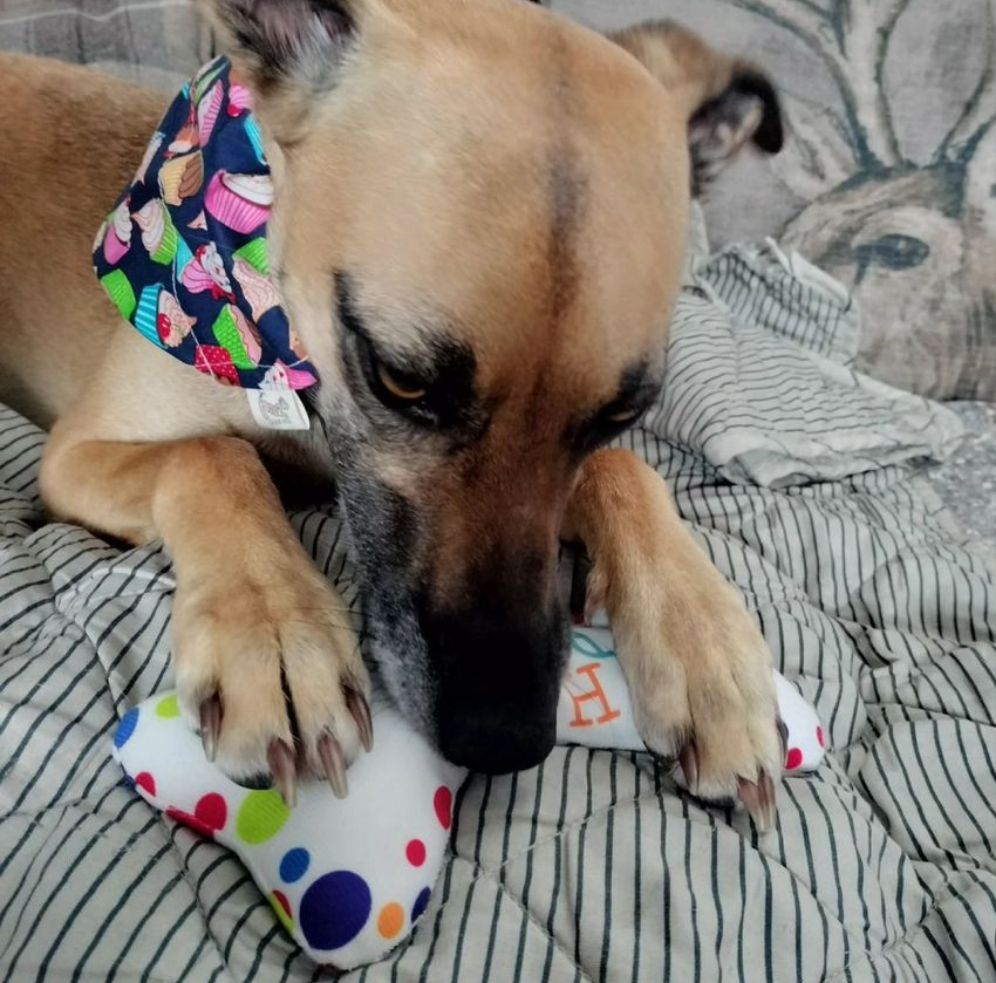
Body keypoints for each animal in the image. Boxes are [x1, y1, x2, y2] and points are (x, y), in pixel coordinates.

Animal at [0, 1, 784, 824]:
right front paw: (274, 628)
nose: (503, 737)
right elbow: (213, 454)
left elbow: (625, 470)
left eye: (620, 413)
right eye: (401, 379)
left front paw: (708, 654)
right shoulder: (72, 455)